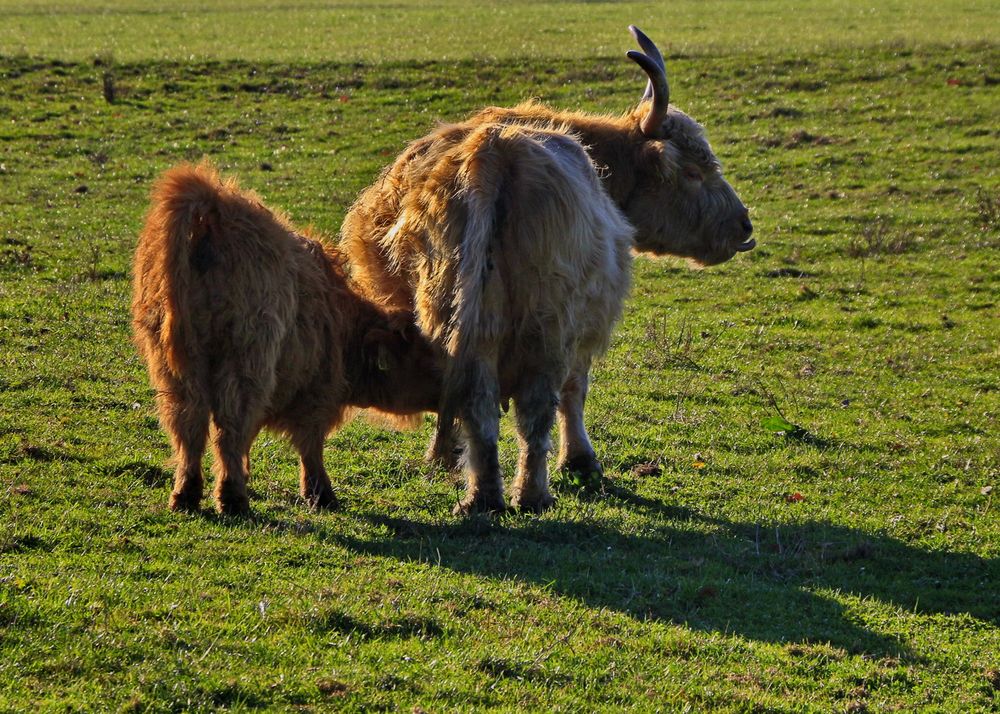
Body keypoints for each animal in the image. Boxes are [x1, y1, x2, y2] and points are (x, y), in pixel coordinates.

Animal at [133, 164, 442, 516]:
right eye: (425, 357)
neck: (342, 323)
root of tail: (212, 207)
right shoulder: (317, 394)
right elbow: (310, 445)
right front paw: (321, 494)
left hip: (174, 364)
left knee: (189, 425)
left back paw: (186, 495)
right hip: (246, 358)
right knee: (229, 427)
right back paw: (233, 498)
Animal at [340, 26, 752, 512]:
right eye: (692, 171)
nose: (744, 225)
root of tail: (493, 153)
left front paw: (442, 457)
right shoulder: (583, 330)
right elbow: (574, 392)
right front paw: (580, 459)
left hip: (457, 317)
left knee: (476, 403)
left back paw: (482, 497)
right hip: (547, 327)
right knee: (535, 411)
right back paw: (533, 494)